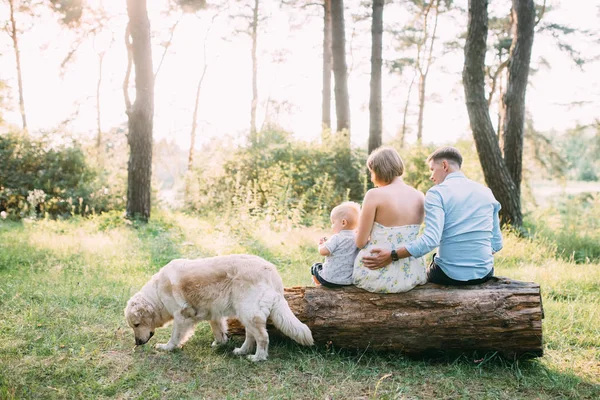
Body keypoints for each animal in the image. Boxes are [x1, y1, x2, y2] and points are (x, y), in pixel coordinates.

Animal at [123, 255, 314, 360]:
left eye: (137, 325)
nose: (137, 343)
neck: (157, 293)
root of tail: (273, 273)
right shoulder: (213, 313)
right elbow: (218, 329)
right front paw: (220, 342)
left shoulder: (181, 316)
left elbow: (175, 336)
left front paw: (167, 347)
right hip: (246, 314)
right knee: (251, 336)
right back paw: (241, 351)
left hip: (249, 313)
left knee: (262, 337)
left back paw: (257, 358)